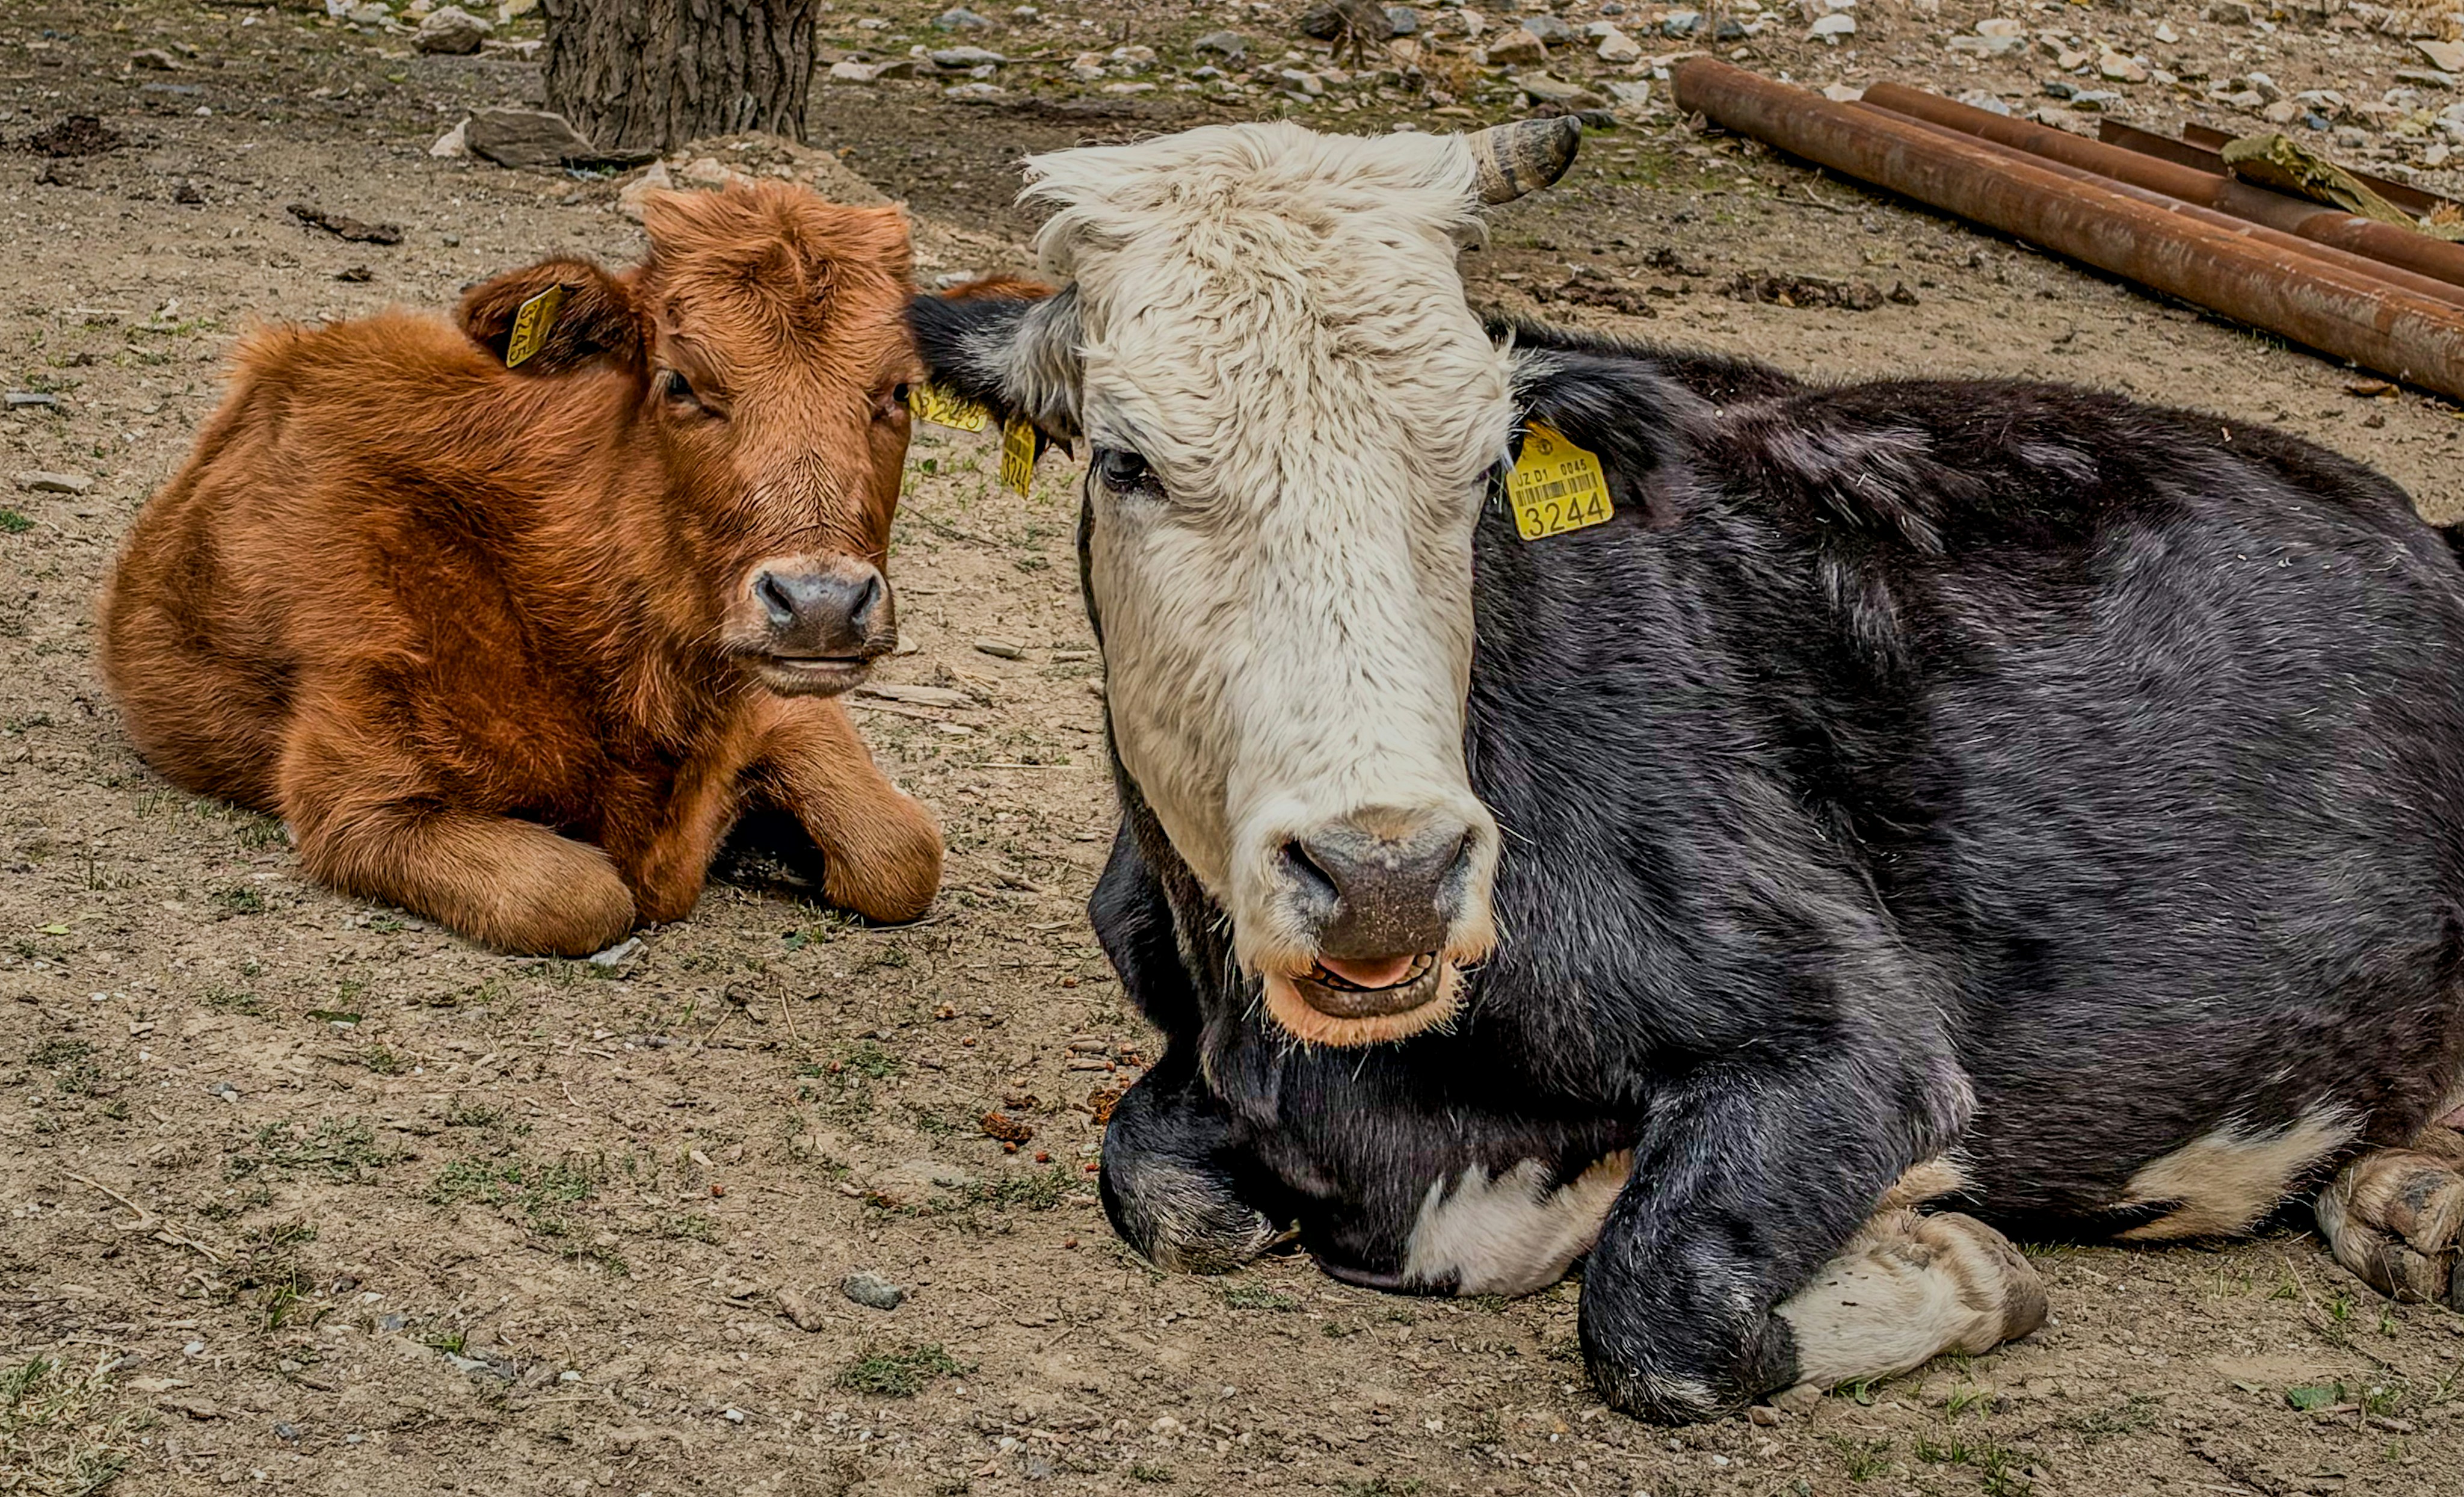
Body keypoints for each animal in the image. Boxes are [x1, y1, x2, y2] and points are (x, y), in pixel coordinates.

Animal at [99, 182, 944, 957]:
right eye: (679, 381)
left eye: (900, 389)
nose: (821, 604)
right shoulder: (355, 795)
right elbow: (577, 898)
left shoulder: (783, 702)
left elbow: (902, 856)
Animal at [909, 117, 2464, 1423]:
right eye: (1125, 461)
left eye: (1481, 464)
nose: (1385, 873)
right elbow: (1154, 1181)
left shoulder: (1850, 1032)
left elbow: (1656, 1308)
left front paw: (1947, 1260)